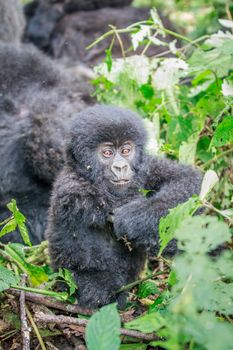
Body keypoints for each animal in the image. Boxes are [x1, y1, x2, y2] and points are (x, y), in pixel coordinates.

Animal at [46, 105, 202, 308]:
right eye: (107, 153)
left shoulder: (147, 167)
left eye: (126, 150)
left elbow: (187, 179)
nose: (120, 167)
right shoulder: (74, 190)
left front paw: (133, 218)